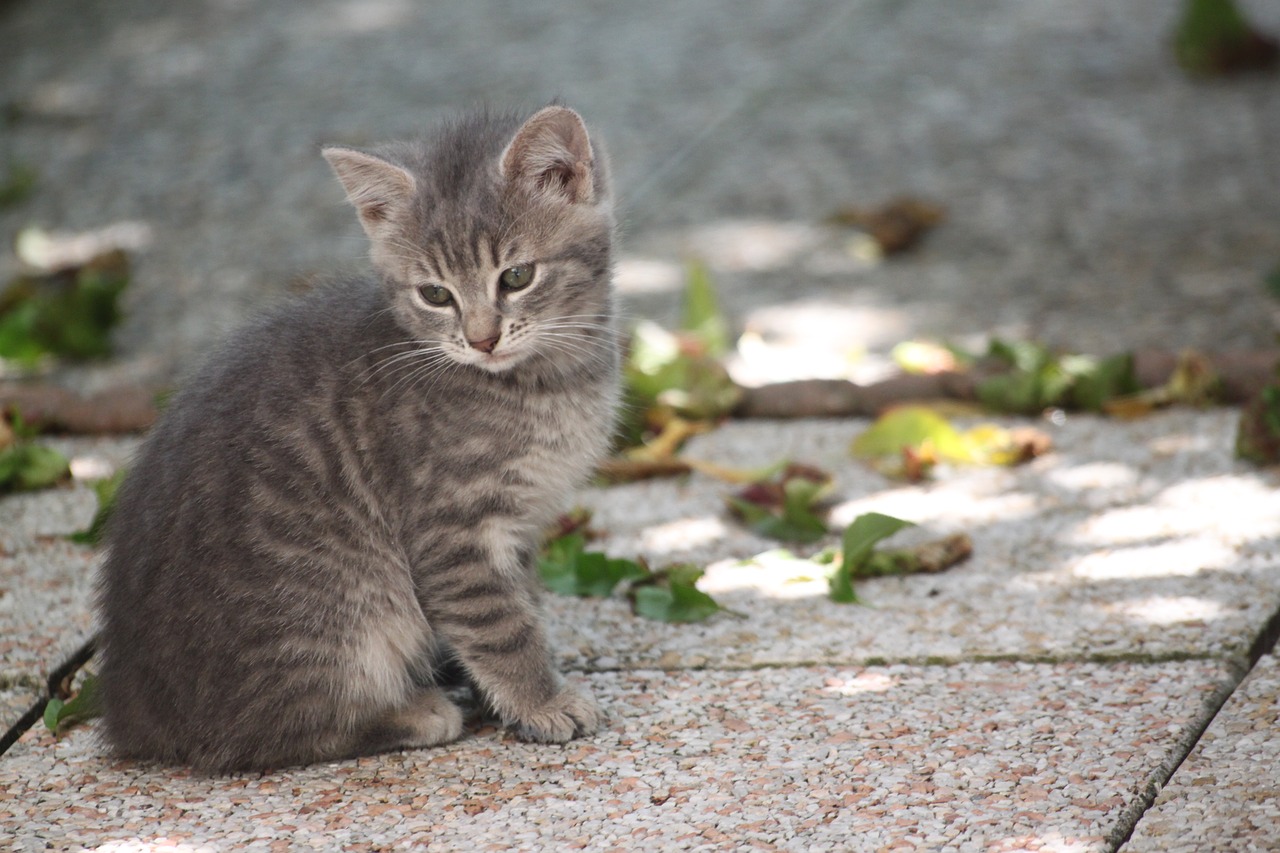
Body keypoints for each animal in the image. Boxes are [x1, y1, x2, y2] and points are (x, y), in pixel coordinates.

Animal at [94, 106, 619, 768]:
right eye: (435, 294)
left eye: (518, 276)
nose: (482, 339)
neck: (547, 382)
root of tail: (132, 717)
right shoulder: (452, 529)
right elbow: (500, 624)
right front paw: (541, 700)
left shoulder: (521, 527)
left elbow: (518, 603)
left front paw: (501, 696)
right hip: (341, 611)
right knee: (265, 732)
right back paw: (414, 712)